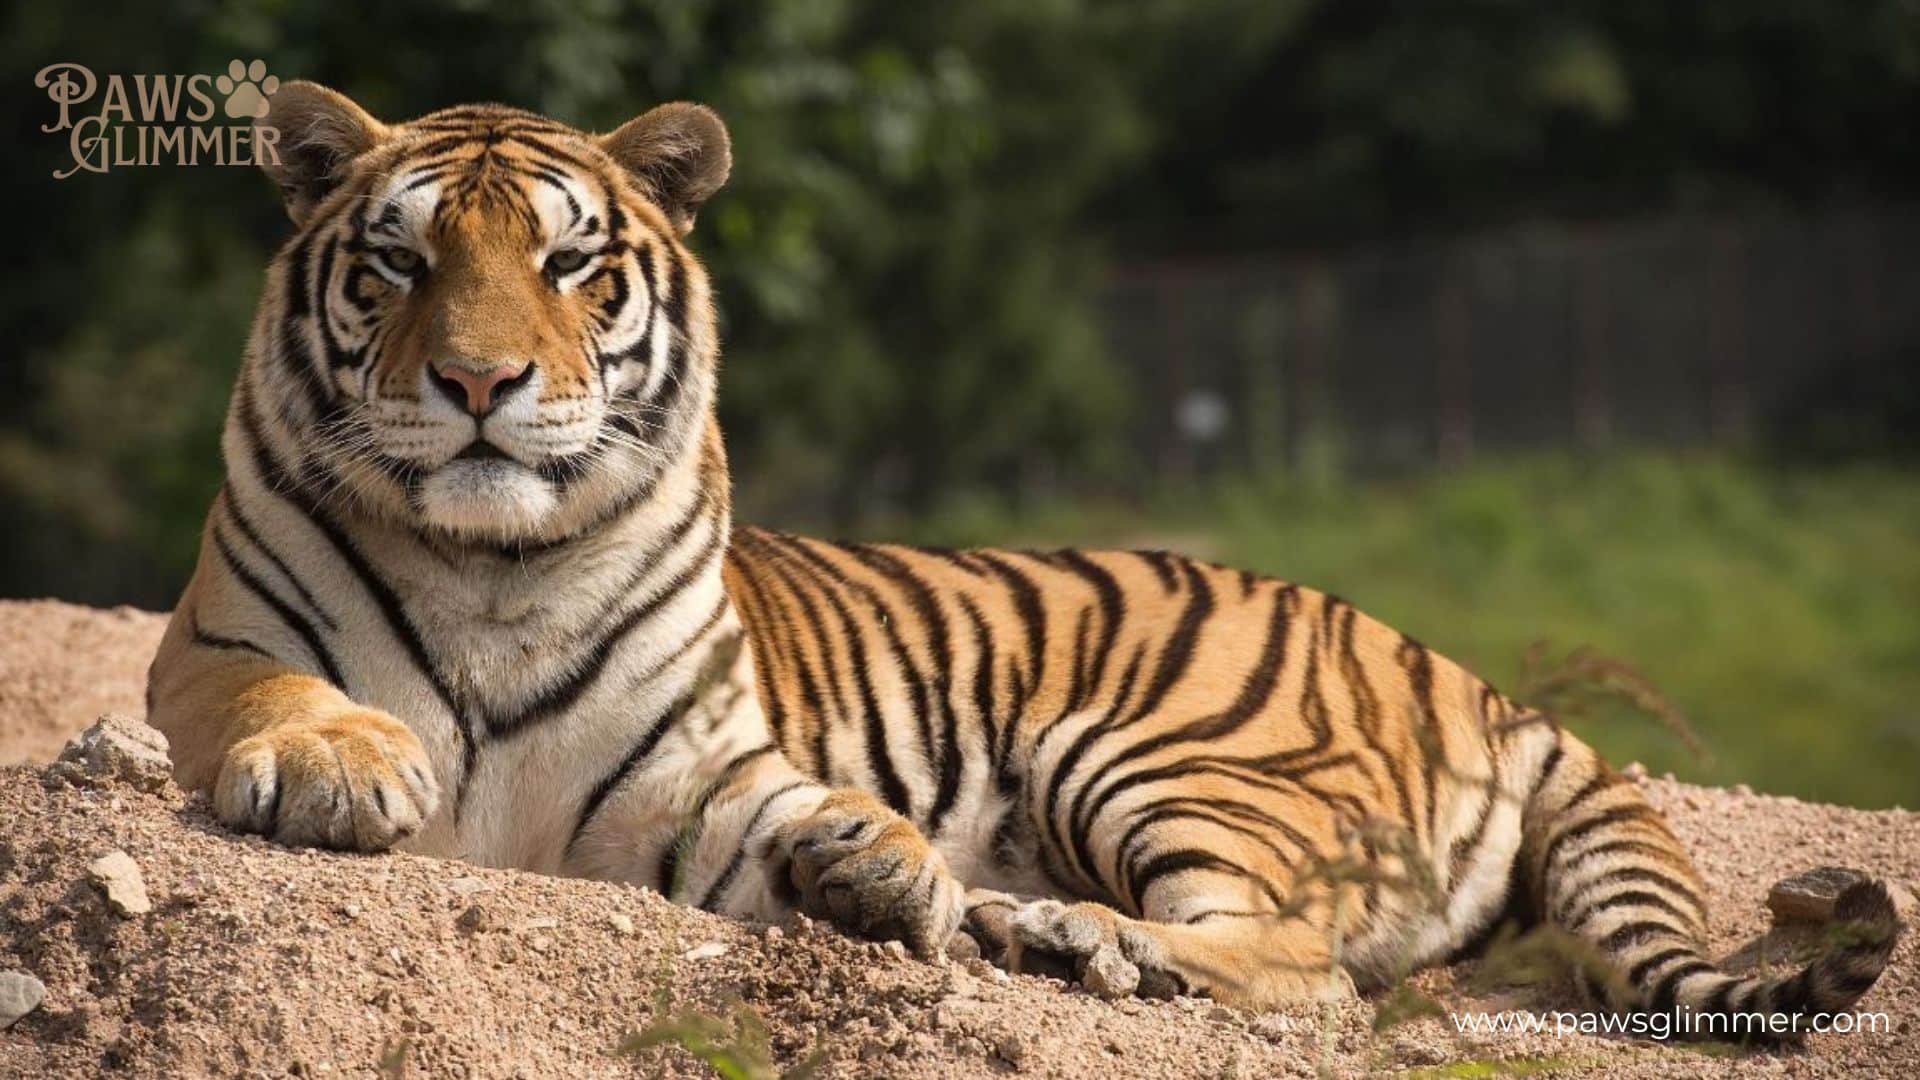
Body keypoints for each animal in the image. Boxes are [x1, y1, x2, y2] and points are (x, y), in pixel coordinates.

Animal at [142, 82, 1896, 1022]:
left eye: (573, 267)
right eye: (400, 261)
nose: (481, 383)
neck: (497, 568)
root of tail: (1457, 668)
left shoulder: (698, 772)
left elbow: (792, 814)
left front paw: (872, 870)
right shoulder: (217, 648)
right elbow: (276, 699)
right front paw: (345, 768)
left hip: (1158, 753)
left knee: (1305, 961)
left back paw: (1060, 933)